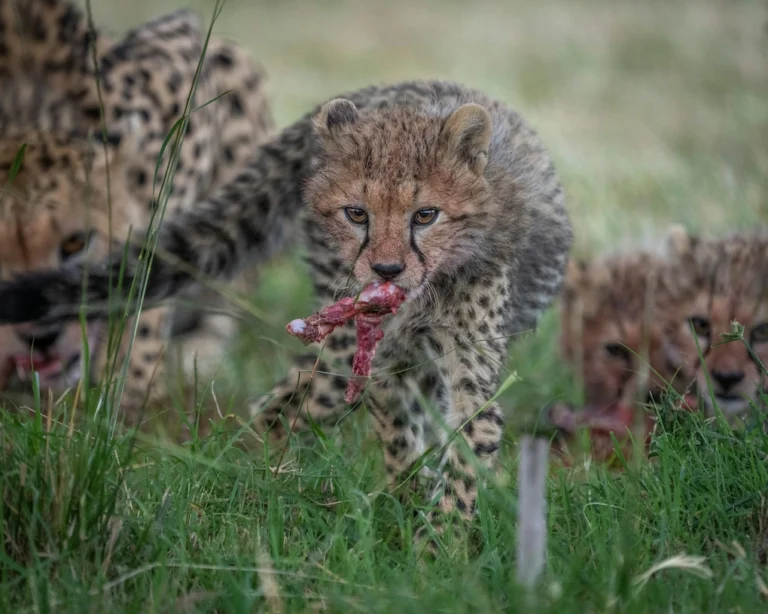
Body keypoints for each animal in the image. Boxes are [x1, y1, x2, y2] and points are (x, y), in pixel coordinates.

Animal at [0, 80, 572, 533]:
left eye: (426, 215)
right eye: (357, 214)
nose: (386, 271)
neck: (421, 297)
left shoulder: (466, 362)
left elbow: (471, 438)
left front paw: (442, 540)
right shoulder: (382, 358)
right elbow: (399, 435)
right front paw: (416, 507)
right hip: (336, 345)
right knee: (291, 405)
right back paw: (267, 485)